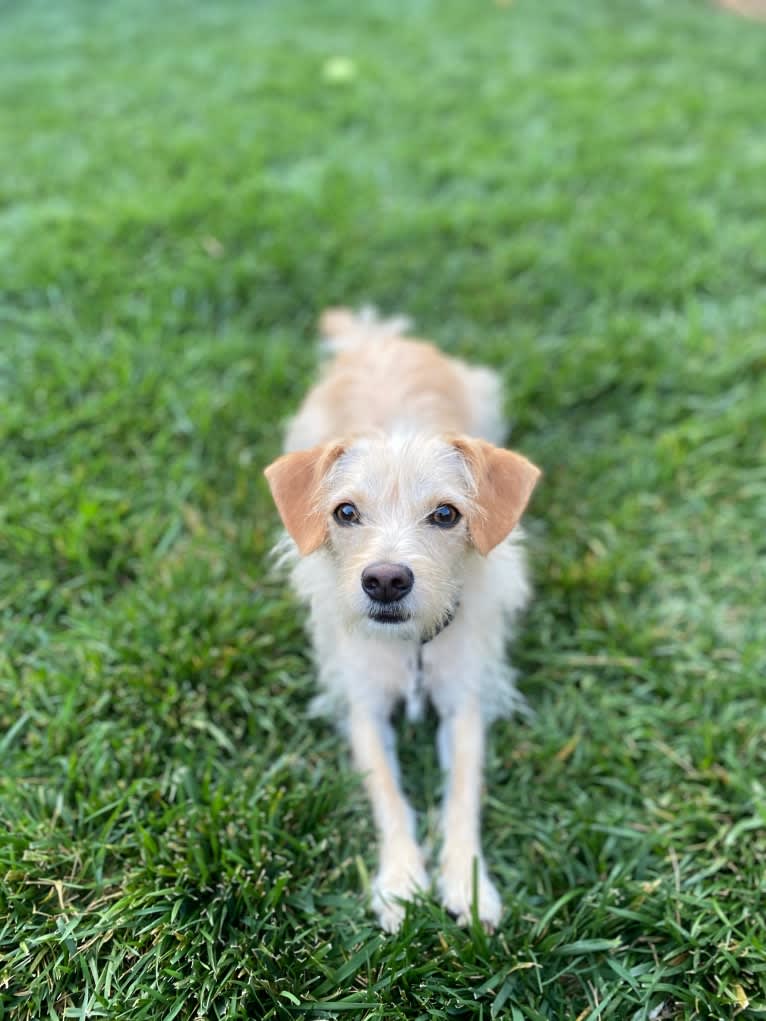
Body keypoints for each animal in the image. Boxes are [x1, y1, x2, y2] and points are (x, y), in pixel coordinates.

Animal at [267, 306, 543, 931]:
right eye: (345, 512)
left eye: (445, 514)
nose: (387, 581)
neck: (412, 647)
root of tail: (378, 338)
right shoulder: (364, 707)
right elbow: (390, 797)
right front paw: (399, 883)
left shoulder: (465, 704)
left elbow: (462, 795)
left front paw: (467, 885)